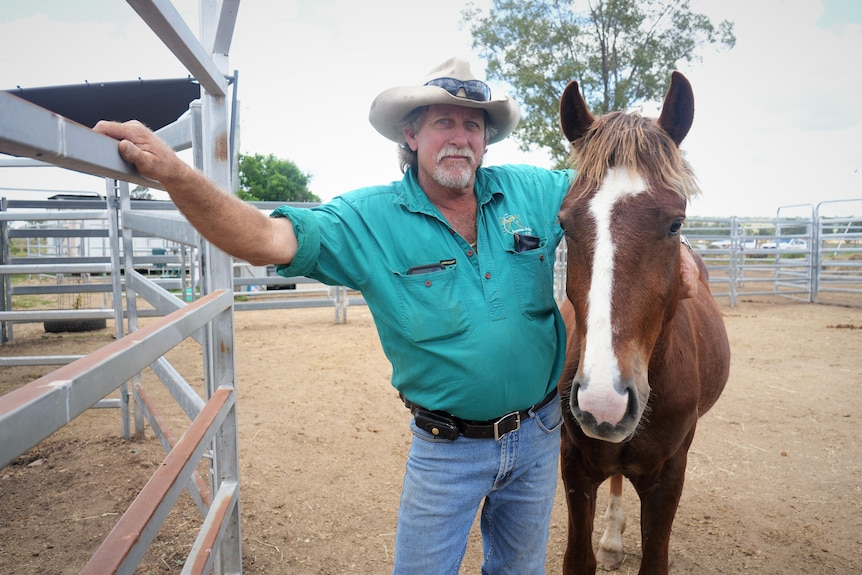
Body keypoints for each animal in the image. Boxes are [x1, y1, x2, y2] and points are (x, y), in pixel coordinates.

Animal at [556, 73, 732, 575]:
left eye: (675, 223)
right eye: (565, 224)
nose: (603, 401)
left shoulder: (668, 477)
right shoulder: (575, 466)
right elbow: (578, 559)